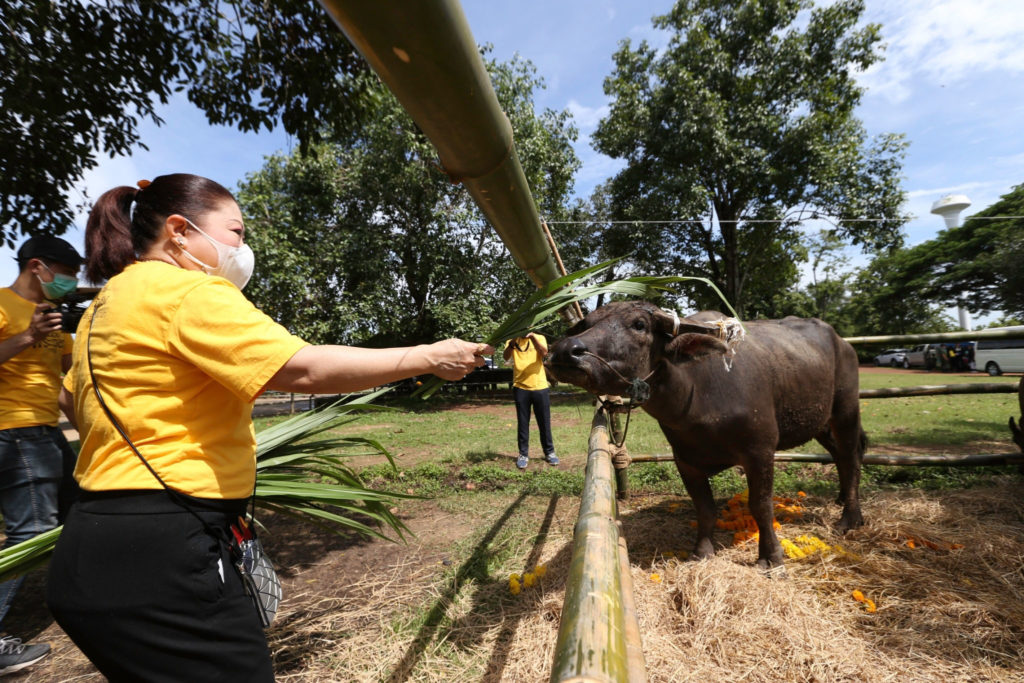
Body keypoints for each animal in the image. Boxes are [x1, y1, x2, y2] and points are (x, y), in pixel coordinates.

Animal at [544, 301, 864, 569]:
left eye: (639, 324)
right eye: (587, 324)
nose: (565, 351)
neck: (696, 397)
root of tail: (843, 344)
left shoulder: (760, 452)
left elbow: (761, 506)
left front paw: (770, 556)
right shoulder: (685, 461)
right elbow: (705, 507)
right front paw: (702, 550)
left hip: (845, 409)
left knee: (852, 455)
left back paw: (850, 517)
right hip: (820, 421)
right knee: (839, 455)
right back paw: (841, 499)